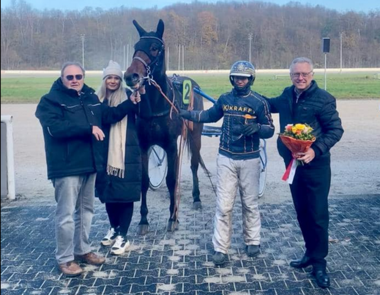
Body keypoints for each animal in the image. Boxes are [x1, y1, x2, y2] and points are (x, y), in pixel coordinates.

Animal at [124, 19, 205, 235]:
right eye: (135, 47)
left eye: (154, 47)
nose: (130, 76)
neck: (157, 104)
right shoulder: (144, 145)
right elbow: (144, 180)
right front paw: (143, 220)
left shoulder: (171, 145)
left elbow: (171, 180)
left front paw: (172, 217)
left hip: (196, 134)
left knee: (194, 164)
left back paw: (196, 197)